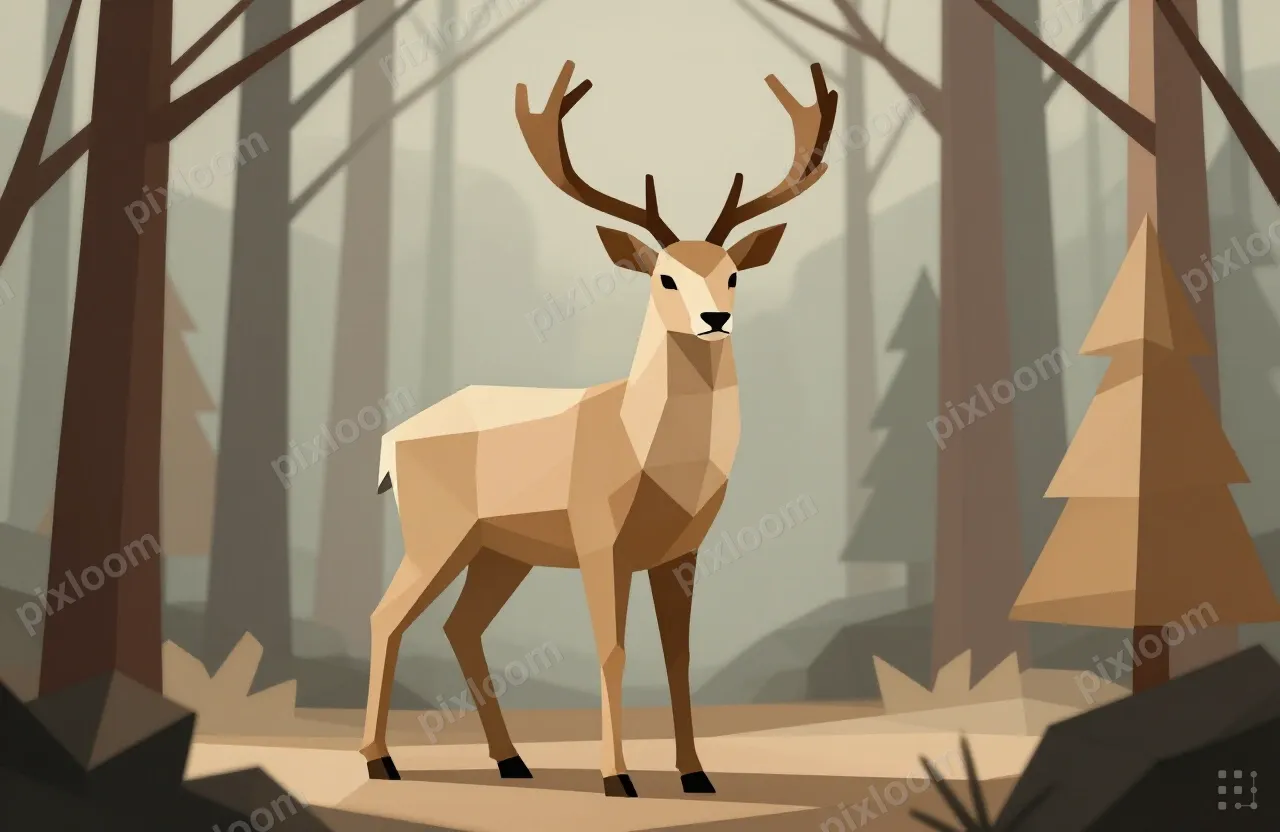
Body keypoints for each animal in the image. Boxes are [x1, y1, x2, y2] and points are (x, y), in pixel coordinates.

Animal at [359, 59, 836, 798]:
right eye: (665, 277)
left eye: (732, 275)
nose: (716, 319)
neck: (648, 454)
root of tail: (391, 442)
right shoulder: (597, 537)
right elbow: (612, 650)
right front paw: (618, 777)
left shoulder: (681, 550)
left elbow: (678, 657)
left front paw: (696, 773)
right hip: (437, 531)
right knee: (386, 616)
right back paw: (381, 760)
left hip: (502, 550)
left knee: (460, 625)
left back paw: (512, 760)